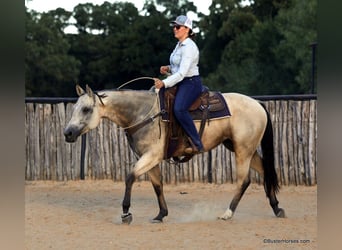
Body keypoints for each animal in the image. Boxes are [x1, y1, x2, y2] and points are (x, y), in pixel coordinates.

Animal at [62, 85, 284, 224]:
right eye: (75, 108)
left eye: (86, 109)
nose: (68, 133)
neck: (143, 113)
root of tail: (258, 104)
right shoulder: (149, 158)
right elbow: (157, 185)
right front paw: (161, 214)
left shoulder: (151, 155)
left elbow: (130, 177)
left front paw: (126, 213)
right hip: (243, 148)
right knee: (265, 172)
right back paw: (276, 208)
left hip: (243, 150)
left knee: (243, 180)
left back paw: (227, 214)